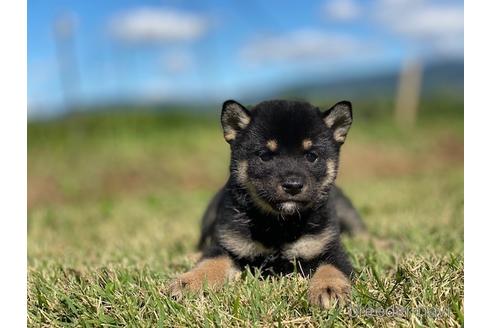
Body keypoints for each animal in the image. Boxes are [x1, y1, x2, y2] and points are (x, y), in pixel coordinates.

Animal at [169, 98, 366, 308]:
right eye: (264, 155)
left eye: (311, 156)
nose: (293, 186)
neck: (279, 225)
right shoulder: (228, 245)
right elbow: (210, 262)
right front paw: (188, 282)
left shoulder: (330, 248)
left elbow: (331, 268)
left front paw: (329, 289)